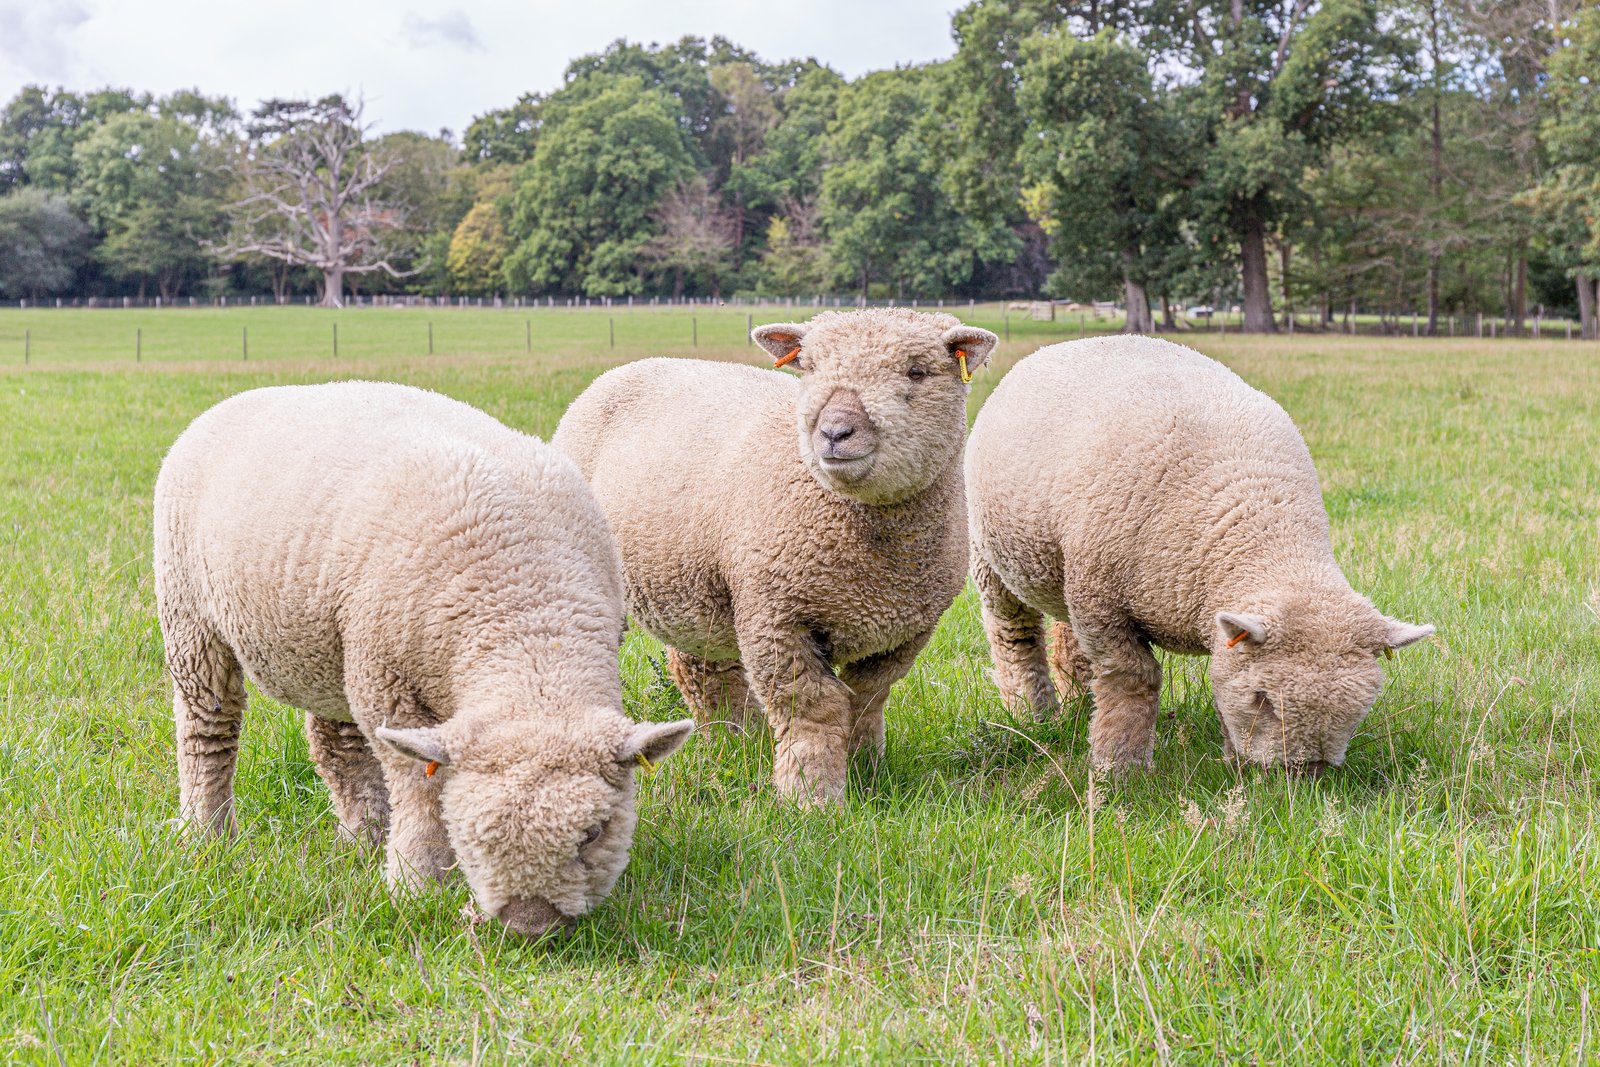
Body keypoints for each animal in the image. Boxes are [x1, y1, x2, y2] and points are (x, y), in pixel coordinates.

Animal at [151, 382, 694, 934]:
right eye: (471, 834)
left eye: (594, 832)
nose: (529, 926)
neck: (528, 622)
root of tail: (244, 396)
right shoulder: (391, 687)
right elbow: (419, 789)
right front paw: (417, 883)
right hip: (191, 614)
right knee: (206, 729)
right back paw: (205, 833)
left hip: (330, 643)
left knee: (336, 745)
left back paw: (363, 837)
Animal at [556, 308, 992, 799]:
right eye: (811, 367)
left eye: (916, 371)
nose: (834, 432)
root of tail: (631, 366)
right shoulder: (776, 616)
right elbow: (813, 707)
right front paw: (810, 793)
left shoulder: (905, 632)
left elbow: (867, 698)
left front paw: (866, 768)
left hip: (698, 586)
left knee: (702, 670)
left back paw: (734, 742)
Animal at [960, 337, 1440, 771]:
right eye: (1263, 699)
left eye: (1361, 709)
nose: (1302, 778)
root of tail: (1063, 344)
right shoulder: (1103, 603)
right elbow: (1132, 679)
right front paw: (1119, 766)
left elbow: (1219, 673)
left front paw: (1229, 761)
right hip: (991, 553)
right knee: (1013, 633)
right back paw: (1032, 712)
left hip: (1064, 569)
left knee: (1065, 635)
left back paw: (1078, 700)